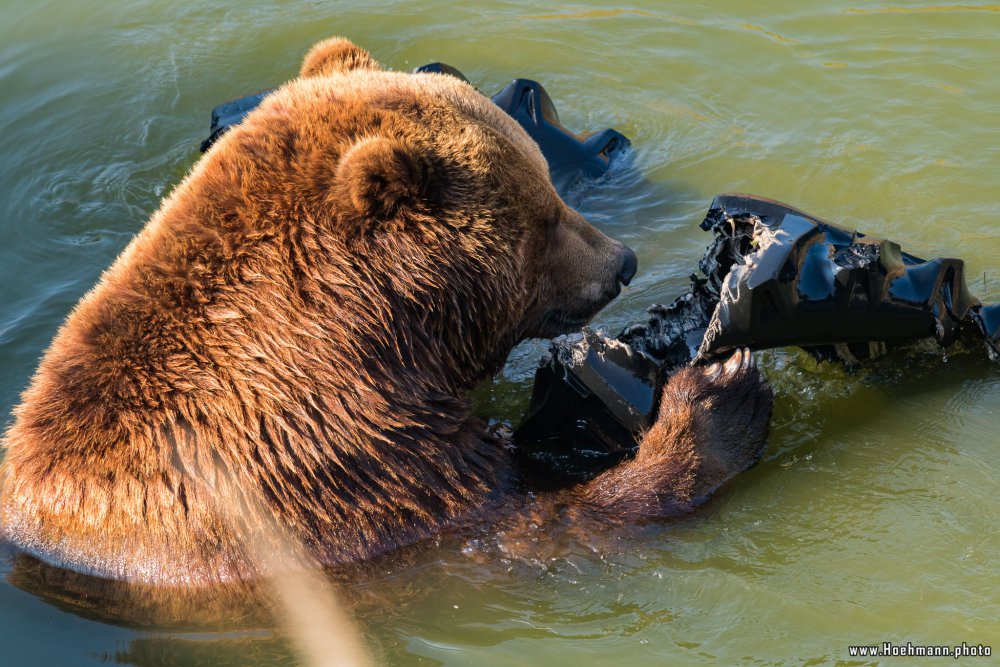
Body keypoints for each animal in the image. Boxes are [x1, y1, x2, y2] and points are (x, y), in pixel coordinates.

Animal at [0, 37, 772, 588]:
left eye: (550, 191)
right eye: (544, 213)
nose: (622, 262)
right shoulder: (337, 473)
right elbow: (530, 528)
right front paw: (718, 395)